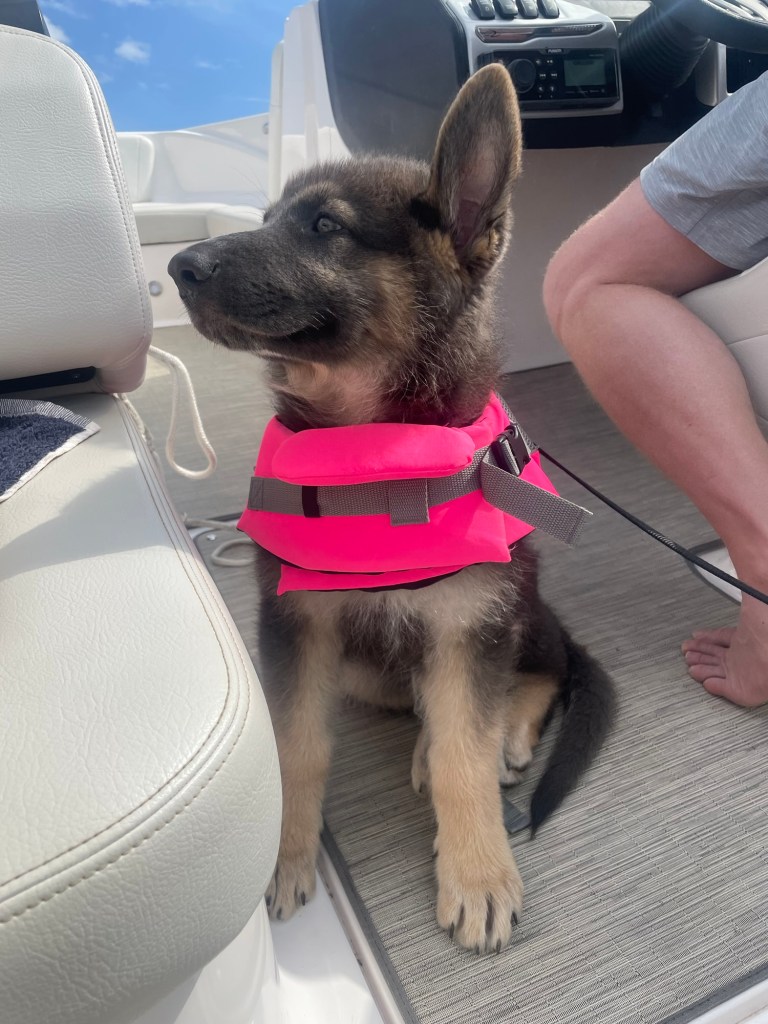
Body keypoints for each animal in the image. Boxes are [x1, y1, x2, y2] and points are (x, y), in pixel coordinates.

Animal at [169, 64, 616, 954]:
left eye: (324, 226)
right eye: (267, 222)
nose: (174, 264)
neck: (369, 451)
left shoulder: (470, 622)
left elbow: (462, 759)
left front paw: (477, 872)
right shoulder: (298, 623)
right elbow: (298, 745)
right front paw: (287, 852)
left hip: (517, 603)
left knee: (537, 674)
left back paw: (505, 732)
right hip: (367, 660)